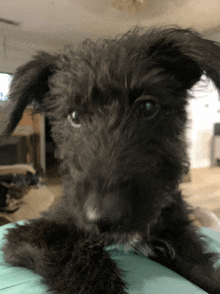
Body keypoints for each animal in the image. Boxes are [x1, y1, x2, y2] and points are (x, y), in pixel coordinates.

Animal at [1, 26, 220, 292]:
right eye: (74, 116)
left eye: (148, 107)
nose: (104, 217)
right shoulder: (32, 231)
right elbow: (75, 253)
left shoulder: (181, 240)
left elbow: (203, 271)